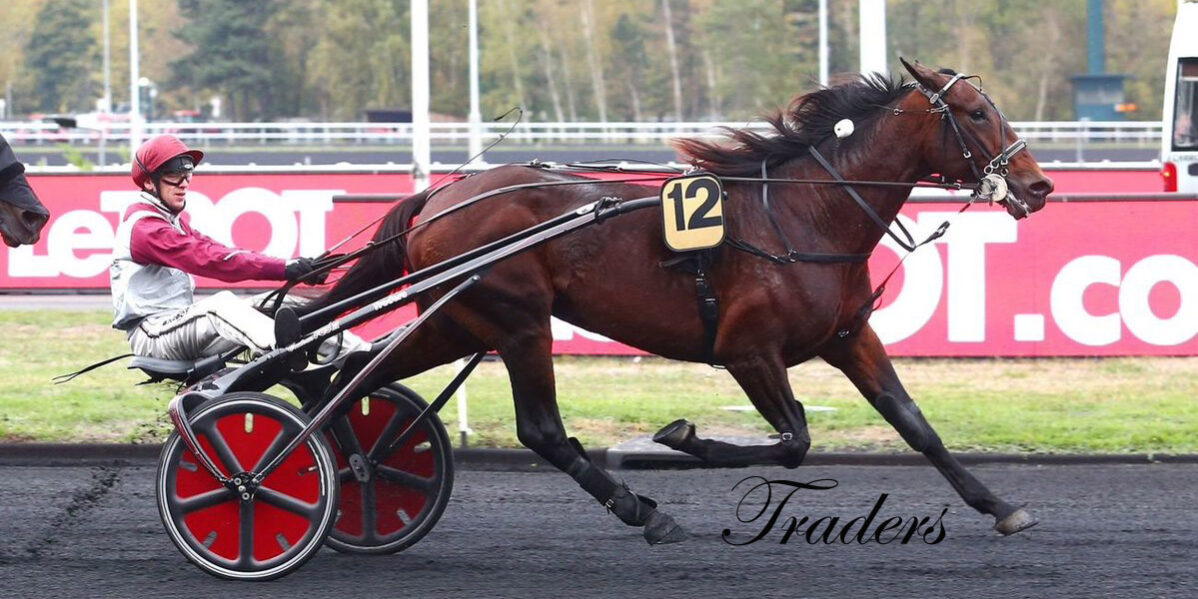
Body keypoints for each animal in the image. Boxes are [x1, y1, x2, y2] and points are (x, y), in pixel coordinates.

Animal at [302, 59, 1054, 544]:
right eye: (977, 113)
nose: (1038, 184)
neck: (805, 215)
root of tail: (441, 196)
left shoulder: (848, 338)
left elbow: (915, 424)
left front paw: (999, 505)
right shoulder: (749, 350)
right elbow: (793, 441)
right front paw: (679, 438)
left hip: (459, 322)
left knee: (350, 379)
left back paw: (354, 468)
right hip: (517, 322)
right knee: (539, 429)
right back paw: (641, 510)